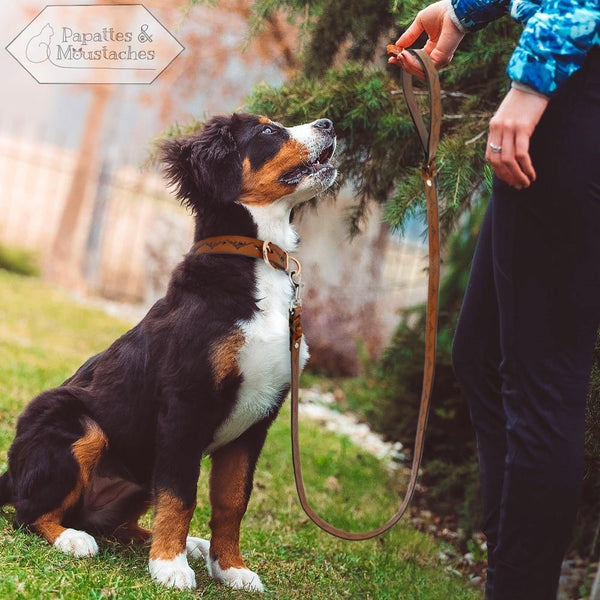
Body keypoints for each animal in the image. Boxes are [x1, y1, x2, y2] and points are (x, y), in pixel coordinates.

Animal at [0, 112, 338, 592]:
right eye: (268, 131)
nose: (329, 123)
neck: (256, 265)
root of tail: (11, 471)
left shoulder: (259, 418)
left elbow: (232, 501)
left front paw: (230, 569)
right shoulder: (185, 405)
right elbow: (181, 494)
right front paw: (170, 567)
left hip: (138, 472)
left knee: (115, 522)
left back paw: (185, 545)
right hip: (78, 426)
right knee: (29, 513)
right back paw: (73, 539)